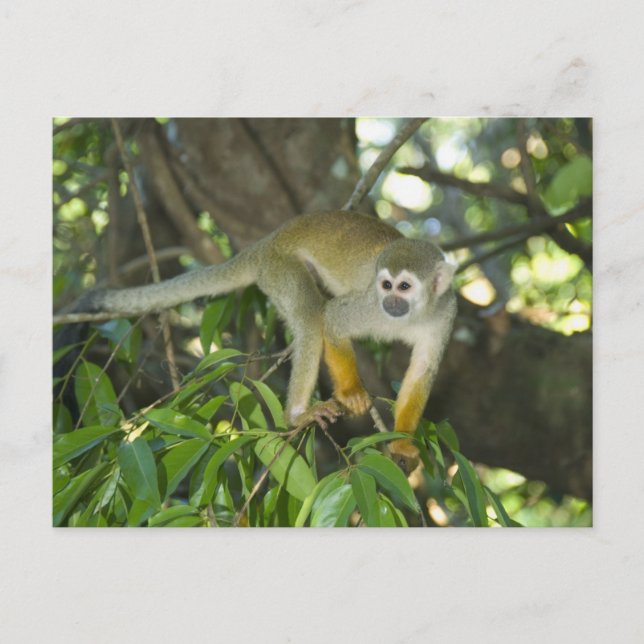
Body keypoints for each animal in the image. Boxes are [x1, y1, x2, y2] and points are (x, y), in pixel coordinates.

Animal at [61, 211, 456, 472]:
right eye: (386, 285)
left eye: (404, 287)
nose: (391, 302)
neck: (412, 314)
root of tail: (268, 242)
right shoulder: (369, 305)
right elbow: (332, 321)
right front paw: (352, 393)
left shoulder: (445, 314)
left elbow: (422, 372)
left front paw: (402, 442)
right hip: (280, 269)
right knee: (311, 318)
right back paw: (296, 414)